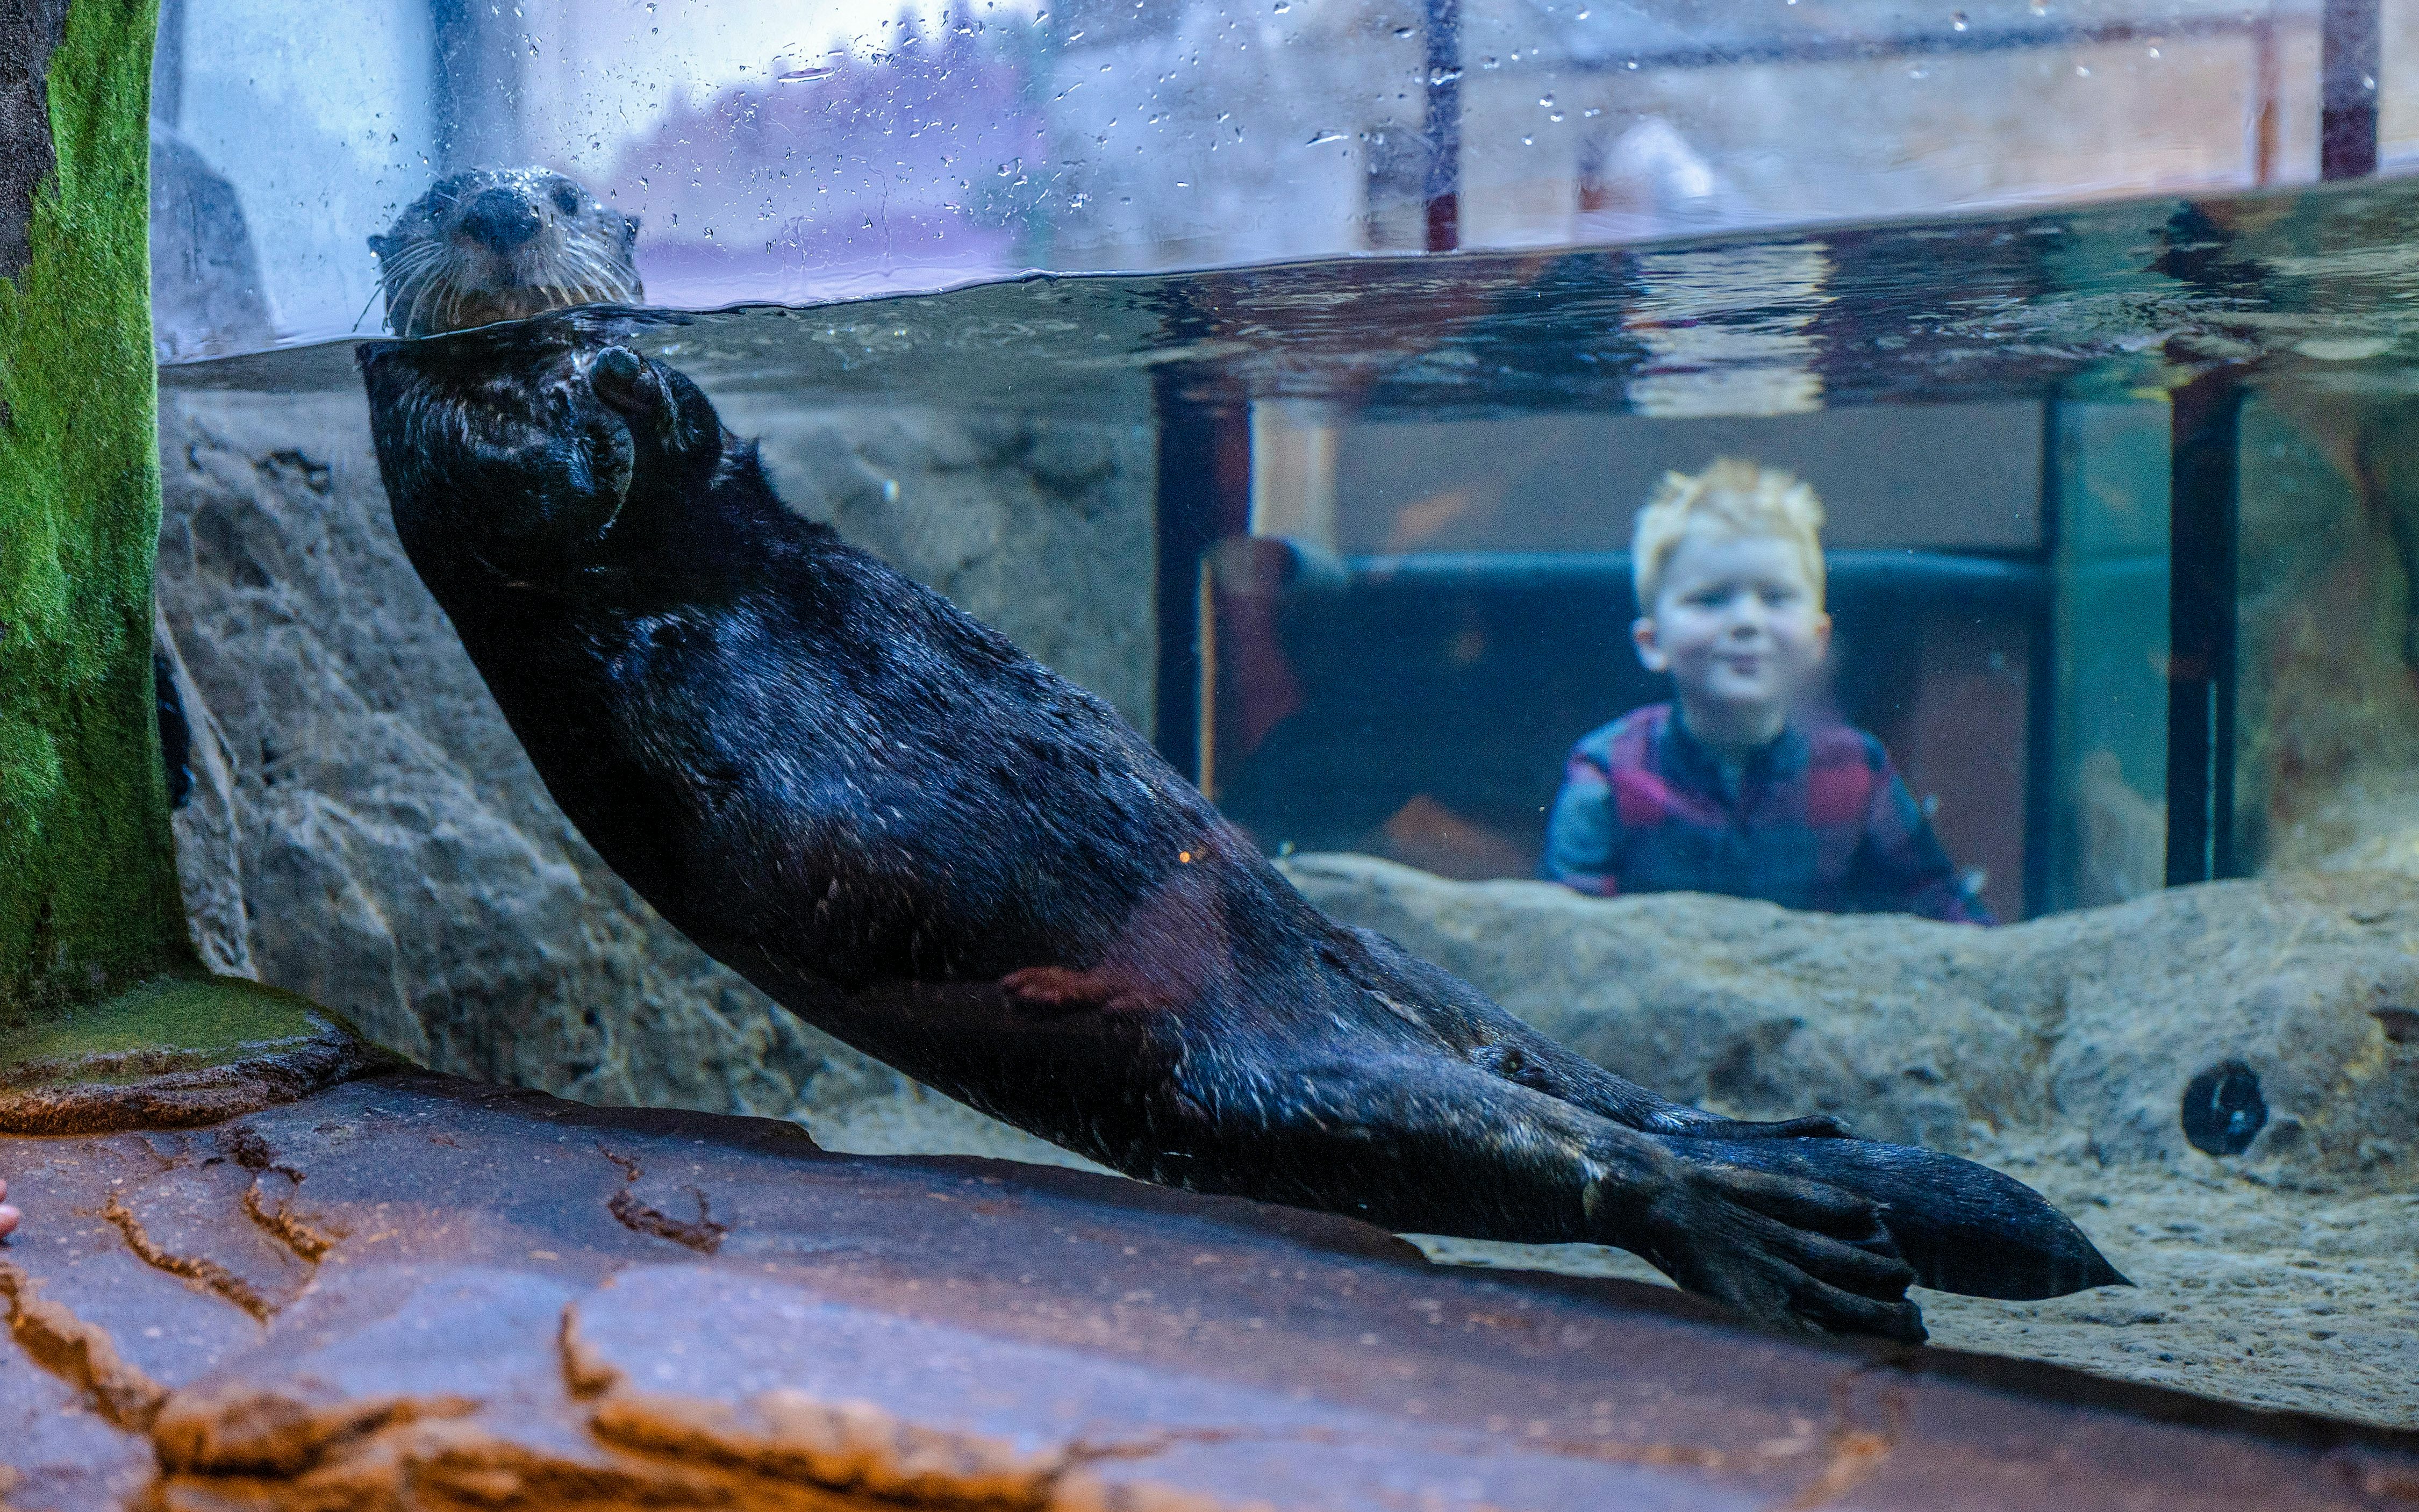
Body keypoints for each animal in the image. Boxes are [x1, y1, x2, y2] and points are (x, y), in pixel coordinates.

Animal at [358, 170, 2124, 1341]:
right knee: (1552, 1147)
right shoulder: (451, 467)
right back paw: (1785, 1240)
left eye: (565, 186)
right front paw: (595, 391)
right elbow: (532, 488)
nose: (498, 206)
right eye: (434, 193)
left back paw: (1802, 1146)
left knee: (1571, 1078)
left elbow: (699, 450)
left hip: (1397, 987)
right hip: (1253, 1086)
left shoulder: (720, 488)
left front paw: (639, 368)